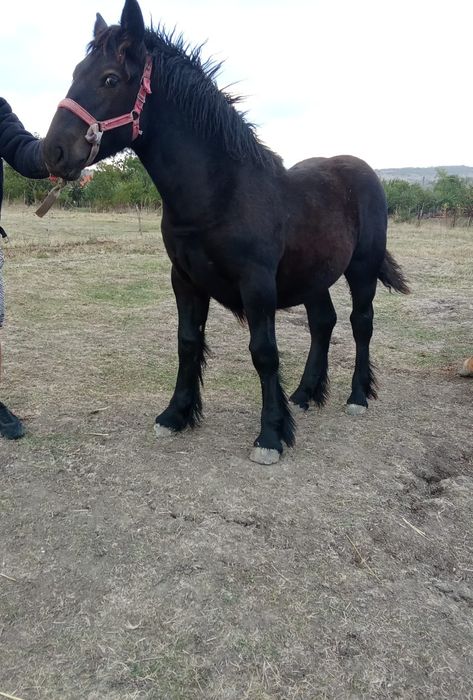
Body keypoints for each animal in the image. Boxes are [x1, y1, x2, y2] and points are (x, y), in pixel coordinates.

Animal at [42, 0, 409, 465]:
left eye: (110, 78)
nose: (51, 151)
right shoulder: (184, 280)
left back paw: (357, 397)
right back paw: (305, 395)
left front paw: (271, 435)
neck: (220, 192)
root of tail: (363, 171)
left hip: (361, 268)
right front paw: (176, 415)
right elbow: (187, 342)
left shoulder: (257, 285)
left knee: (361, 323)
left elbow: (264, 354)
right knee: (323, 323)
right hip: (313, 276)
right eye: (76, 71)